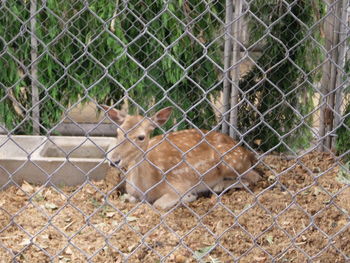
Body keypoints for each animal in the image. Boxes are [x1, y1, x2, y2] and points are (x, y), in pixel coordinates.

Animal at [102, 105, 262, 210]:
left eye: (141, 137)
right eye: (118, 132)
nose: (114, 160)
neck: (146, 187)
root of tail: (248, 152)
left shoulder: (179, 184)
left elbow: (159, 204)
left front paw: (189, 197)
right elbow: (128, 199)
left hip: (231, 161)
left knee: (254, 178)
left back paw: (218, 185)